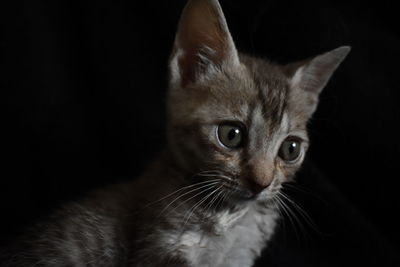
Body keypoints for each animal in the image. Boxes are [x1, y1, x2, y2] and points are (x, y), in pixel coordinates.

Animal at [1, 0, 348, 266]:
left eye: (290, 149)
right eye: (231, 134)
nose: (261, 183)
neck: (231, 218)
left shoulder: (241, 256)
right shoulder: (160, 247)